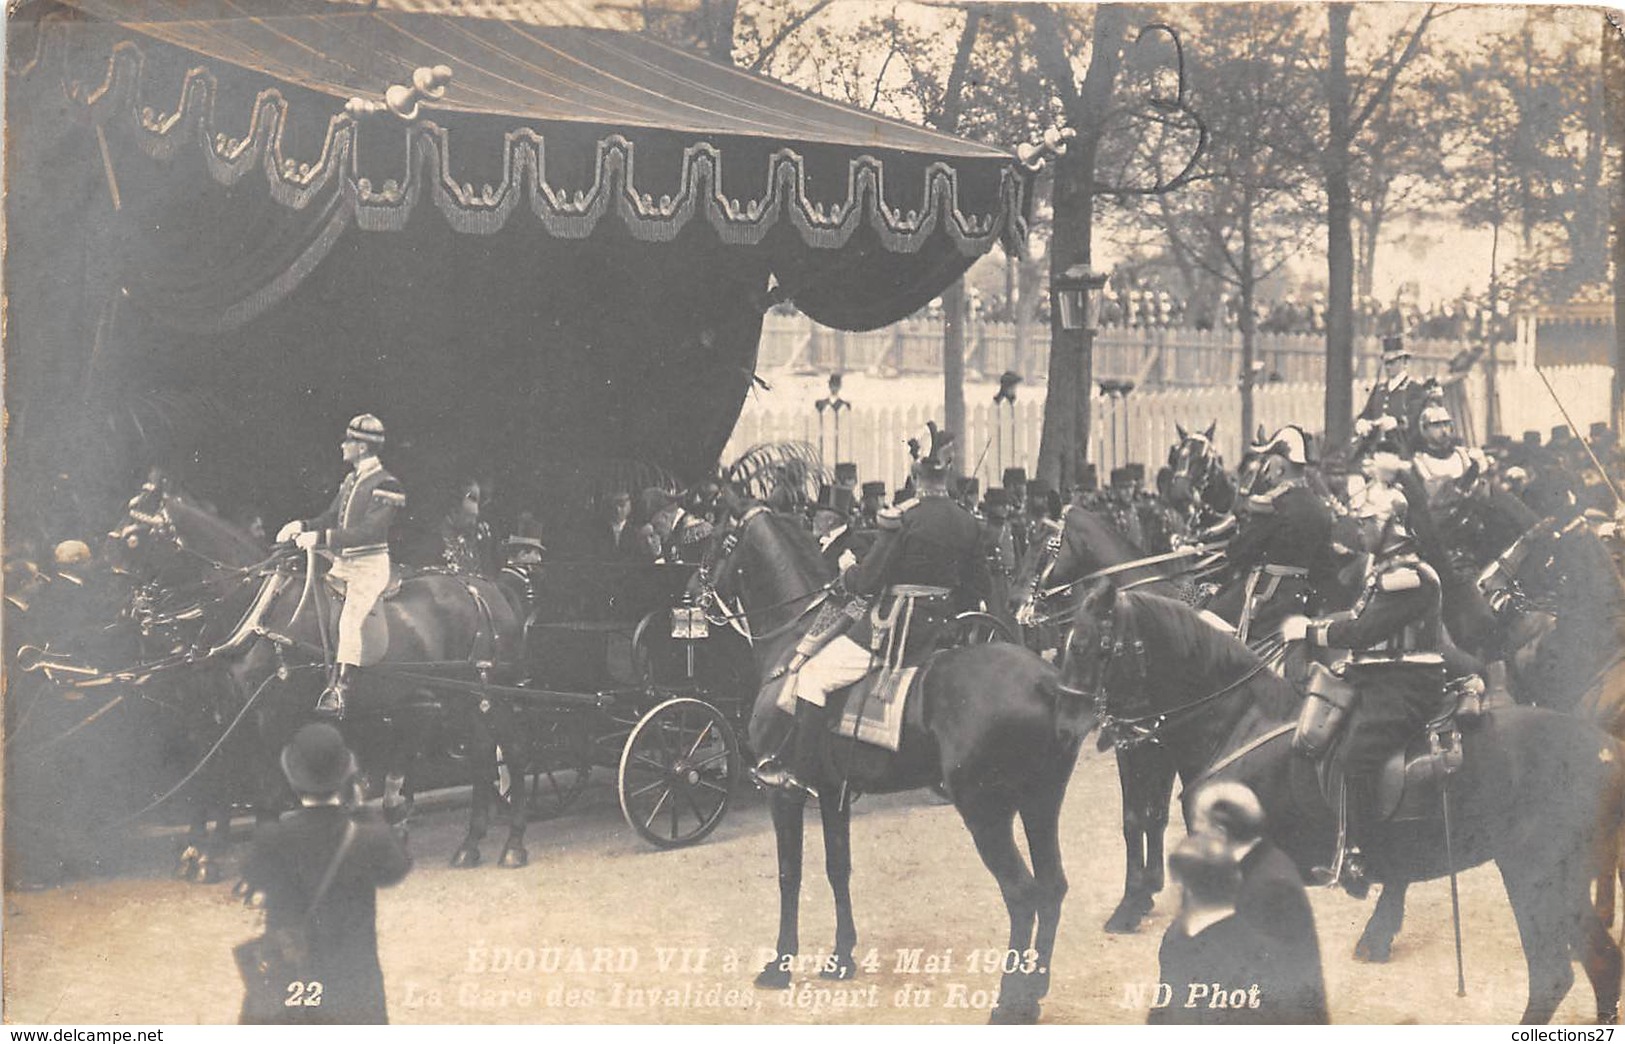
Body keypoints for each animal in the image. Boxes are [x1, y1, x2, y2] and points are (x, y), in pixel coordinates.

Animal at [98, 471, 536, 858]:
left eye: (132, 536)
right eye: (115, 531)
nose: (118, 607)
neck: (261, 607)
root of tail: (484, 587)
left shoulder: (270, 714)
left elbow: (267, 789)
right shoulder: (230, 714)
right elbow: (228, 776)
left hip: (487, 696)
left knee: (510, 750)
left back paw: (513, 844)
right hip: (457, 700)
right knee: (481, 755)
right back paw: (469, 843)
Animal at [692, 504, 1085, 1027]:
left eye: (716, 542)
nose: (691, 597)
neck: (795, 639)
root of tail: (1045, 680)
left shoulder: (784, 791)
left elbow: (789, 875)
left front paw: (780, 965)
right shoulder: (831, 793)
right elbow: (838, 868)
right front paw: (840, 959)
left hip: (987, 811)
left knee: (1022, 894)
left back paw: (1010, 1001)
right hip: (1040, 801)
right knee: (1052, 885)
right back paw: (1036, 987)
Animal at [1007, 500, 1222, 930]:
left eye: (1046, 544)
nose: (1015, 600)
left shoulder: (1139, 743)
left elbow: (1138, 815)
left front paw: (1130, 901)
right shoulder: (1152, 741)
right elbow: (1150, 814)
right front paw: (1148, 887)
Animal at [1066, 582, 1625, 1021]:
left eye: (1093, 646)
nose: (1071, 720)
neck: (1240, 723)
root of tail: (1602, 746)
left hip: (1532, 873)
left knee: (1555, 973)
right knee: (1601, 964)